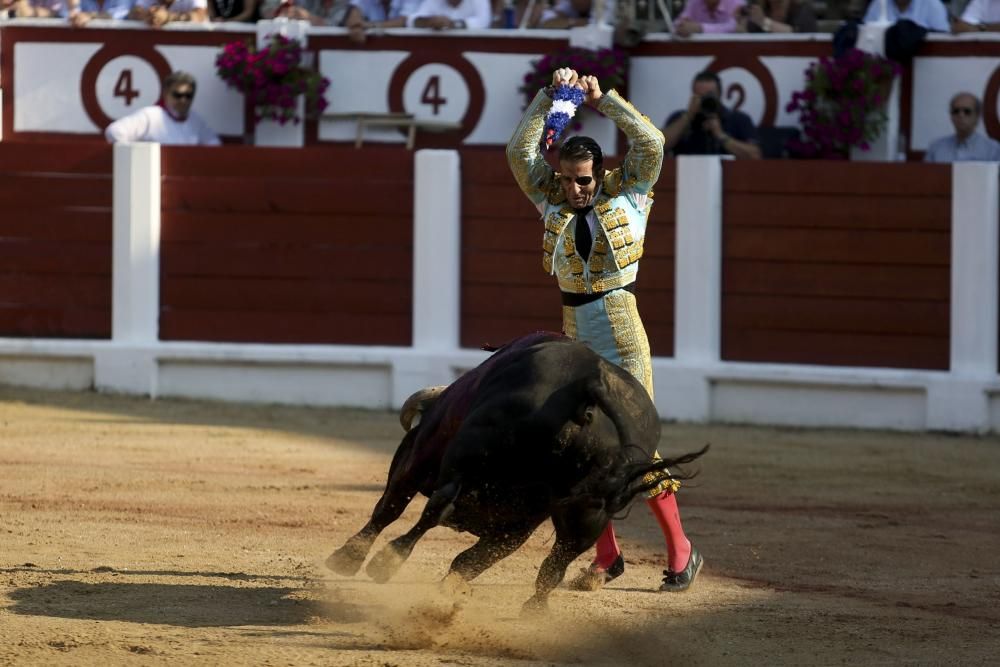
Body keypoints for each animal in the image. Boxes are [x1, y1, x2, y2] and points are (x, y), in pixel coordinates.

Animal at [324, 332, 708, 612]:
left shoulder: (417, 458)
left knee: (435, 509)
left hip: (467, 457)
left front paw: (348, 557)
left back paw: (387, 562)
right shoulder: (518, 520)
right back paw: (531, 611)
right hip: (585, 512)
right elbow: (473, 559)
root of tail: (590, 383)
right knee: (554, 562)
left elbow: (389, 508)